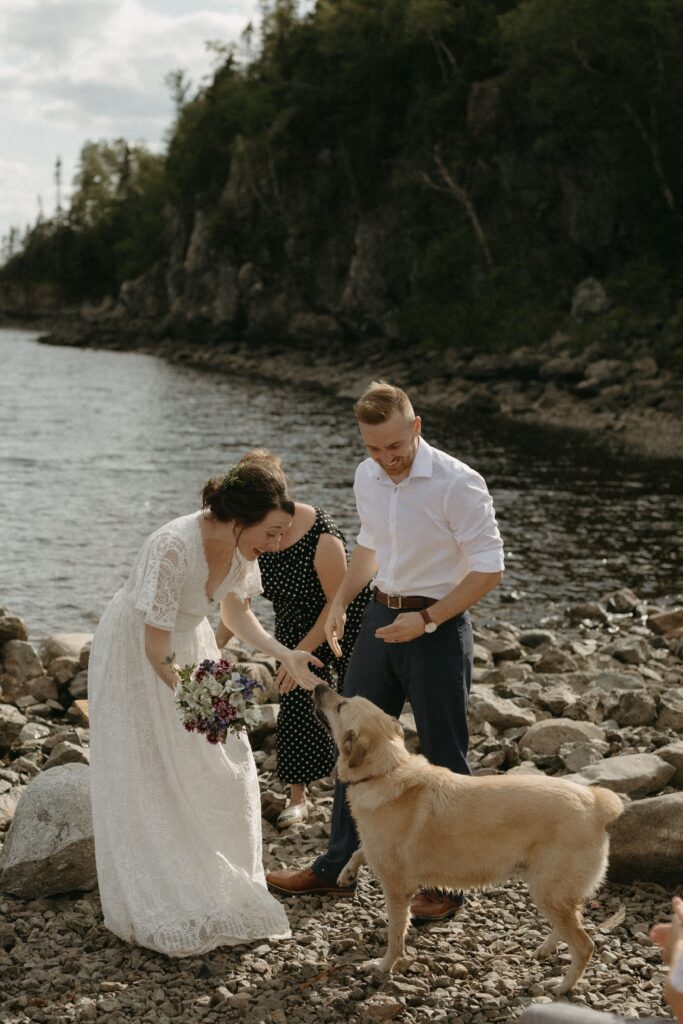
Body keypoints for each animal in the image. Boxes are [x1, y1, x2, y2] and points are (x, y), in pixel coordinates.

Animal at [315, 684, 626, 995]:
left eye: (341, 705)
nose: (319, 687)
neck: (386, 770)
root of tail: (596, 803)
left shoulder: (397, 890)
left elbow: (395, 936)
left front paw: (383, 966)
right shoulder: (378, 851)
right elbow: (360, 850)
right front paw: (346, 872)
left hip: (549, 892)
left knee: (584, 945)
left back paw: (561, 987)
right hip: (549, 891)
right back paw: (545, 950)